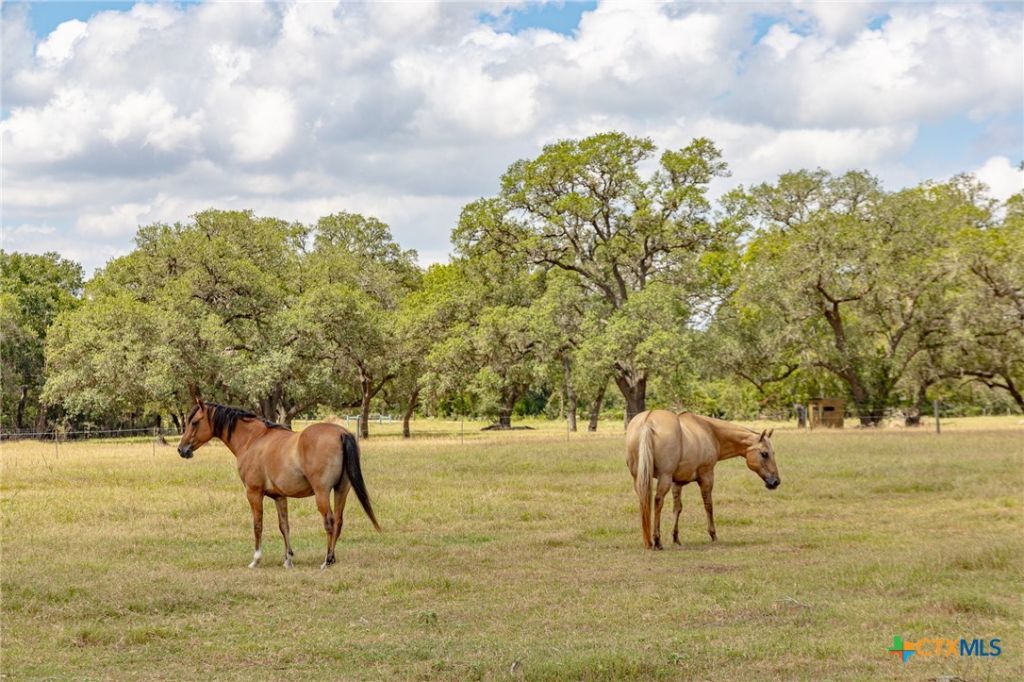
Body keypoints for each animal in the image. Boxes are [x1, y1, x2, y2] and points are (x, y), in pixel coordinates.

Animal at [176, 399, 381, 569]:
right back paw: (332, 558)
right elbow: (285, 527)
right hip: (341, 490)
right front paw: (288, 559)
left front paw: (256, 559)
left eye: (194, 422)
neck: (253, 440)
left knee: (329, 522)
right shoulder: (279, 496)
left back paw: (327, 560)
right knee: (338, 521)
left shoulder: (254, 493)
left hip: (322, 493)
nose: (181, 449)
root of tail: (341, 433)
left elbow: (258, 525)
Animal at [625, 410, 781, 550]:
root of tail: (648, 421)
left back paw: (648, 541)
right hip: (664, 477)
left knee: (644, 502)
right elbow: (708, 505)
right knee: (658, 501)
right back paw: (657, 541)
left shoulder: (677, 483)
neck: (709, 431)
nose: (776, 482)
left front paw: (676, 538)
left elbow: (677, 508)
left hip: (640, 479)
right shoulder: (707, 477)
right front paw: (713, 535)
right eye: (764, 454)